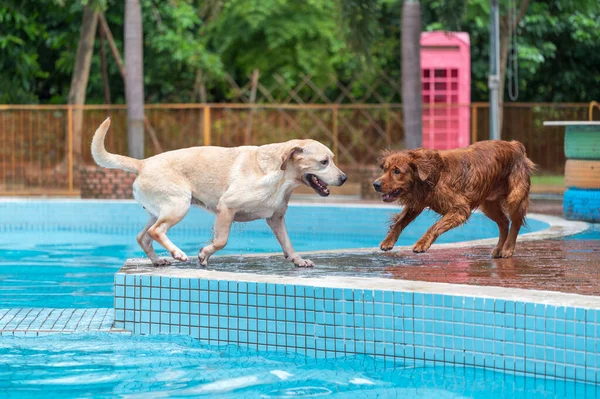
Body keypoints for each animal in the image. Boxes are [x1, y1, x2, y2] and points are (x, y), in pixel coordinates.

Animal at [89, 119, 346, 268]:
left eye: (333, 159)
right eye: (324, 162)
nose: (344, 178)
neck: (280, 175)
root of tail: (142, 163)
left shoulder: (276, 218)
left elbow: (288, 244)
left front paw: (298, 260)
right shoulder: (226, 208)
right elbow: (221, 241)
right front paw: (203, 254)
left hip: (159, 211)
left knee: (142, 236)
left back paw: (158, 260)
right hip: (178, 206)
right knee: (156, 232)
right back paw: (178, 253)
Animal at [376, 141, 536, 260]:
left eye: (397, 171)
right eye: (384, 169)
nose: (375, 184)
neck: (434, 174)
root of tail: (515, 145)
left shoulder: (460, 209)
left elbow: (434, 226)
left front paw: (422, 243)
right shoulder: (418, 203)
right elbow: (399, 222)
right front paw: (388, 241)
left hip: (514, 197)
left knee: (515, 222)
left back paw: (508, 249)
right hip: (489, 205)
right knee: (504, 222)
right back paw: (498, 248)